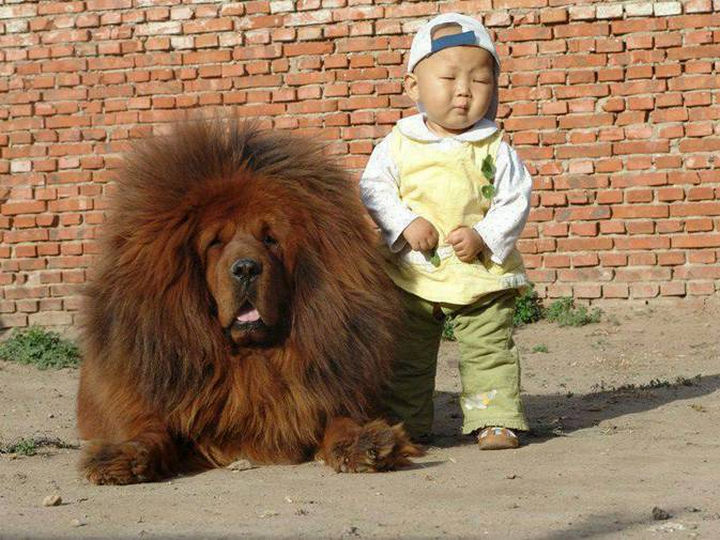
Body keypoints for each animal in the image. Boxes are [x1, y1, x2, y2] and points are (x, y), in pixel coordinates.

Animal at [77, 120, 422, 484]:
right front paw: (123, 457)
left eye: (270, 239)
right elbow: (151, 430)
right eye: (215, 242)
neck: (251, 359)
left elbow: (339, 418)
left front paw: (365, 443)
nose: (245, 268)